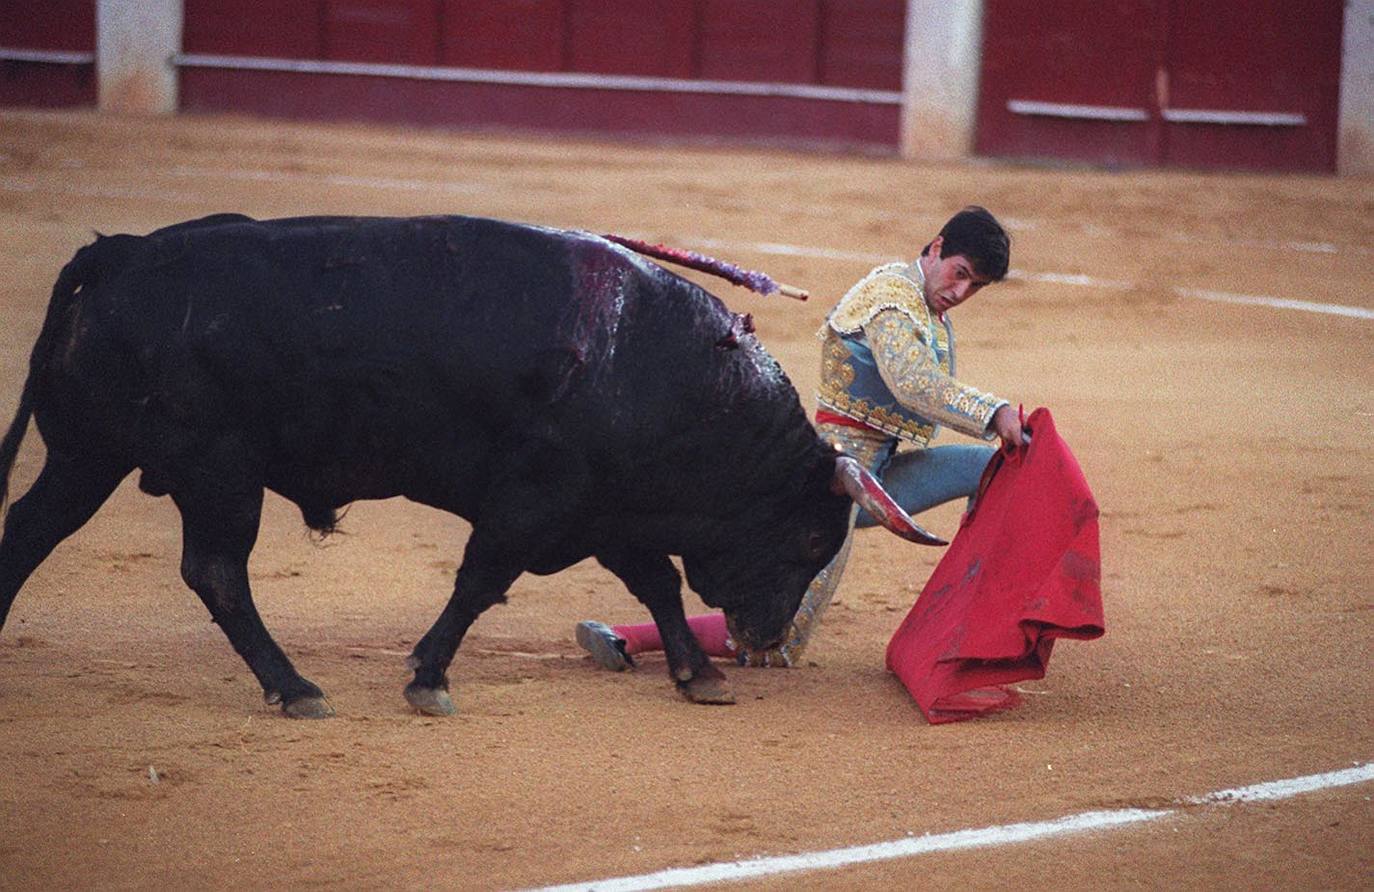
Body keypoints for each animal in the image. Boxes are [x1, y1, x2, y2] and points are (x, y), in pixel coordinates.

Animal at [0, 214, 934, 714]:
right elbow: (482, 580)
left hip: (87, 455)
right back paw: (295, 687)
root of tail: (118, 253)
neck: (666, 368)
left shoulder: (604, 508)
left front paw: (698, 674)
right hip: (216, 472)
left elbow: (658, 586)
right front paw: (427, 677)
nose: (765, 640)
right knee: (217, 571)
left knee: (27, 530)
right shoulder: (536, 500)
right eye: (810, 538)